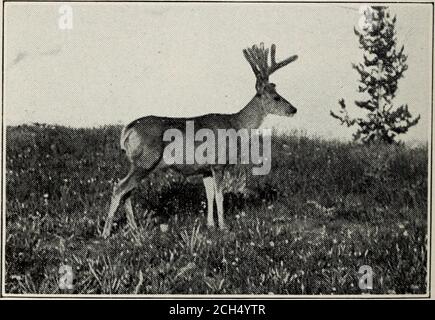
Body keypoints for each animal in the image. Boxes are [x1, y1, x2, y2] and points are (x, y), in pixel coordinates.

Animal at [102, 42, 300, 238]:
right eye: (276, 97)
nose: (294, 109)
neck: (236, 124)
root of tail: (128, 129)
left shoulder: (205, 168)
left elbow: (209, 194)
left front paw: (210, 225)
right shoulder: (219, 163)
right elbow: (220, 195)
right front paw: (223, 227)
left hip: (138, 163)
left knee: (127, 192)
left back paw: (134, 229)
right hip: (145, 161)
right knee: (119, 187)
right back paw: (106, 233)